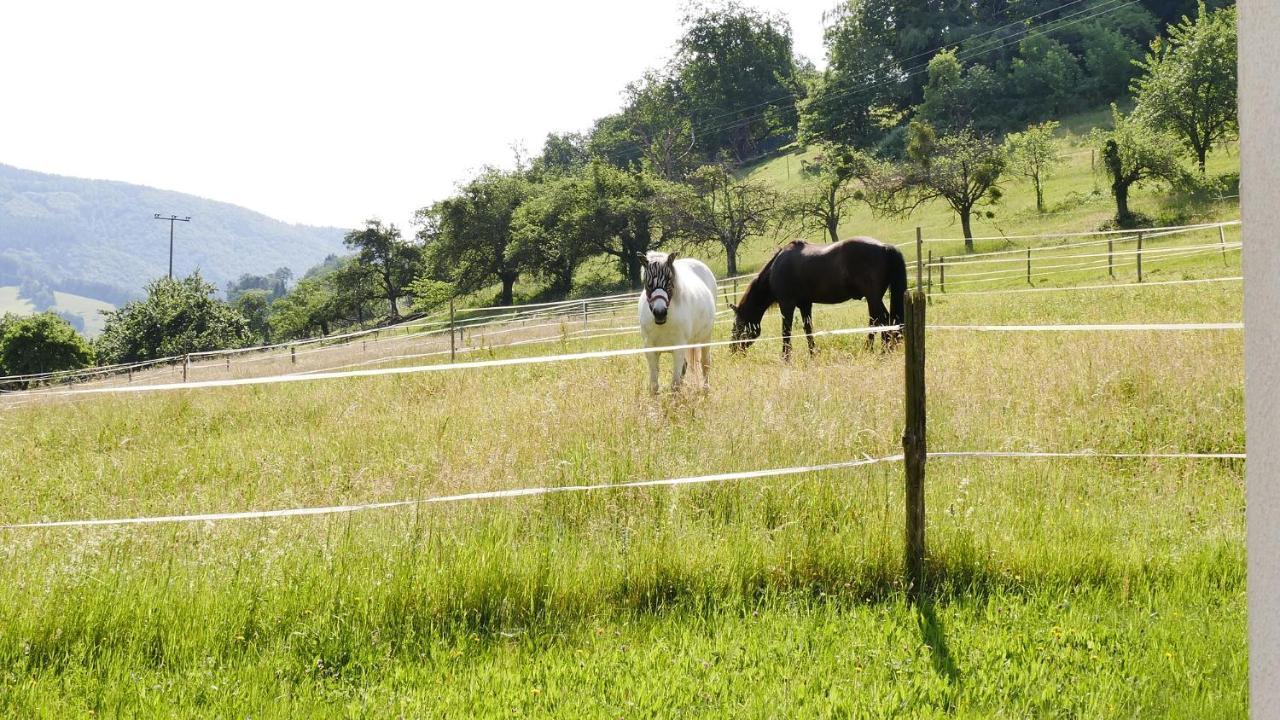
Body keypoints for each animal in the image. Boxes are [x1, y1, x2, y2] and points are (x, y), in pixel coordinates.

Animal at [640, 248, 721, 392]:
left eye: (669, 283)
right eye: (648, 285)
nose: (660, 313)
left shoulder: (678, 349)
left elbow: (675, 385)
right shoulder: (651, 350)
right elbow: (654, 385)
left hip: (706, 337)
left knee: (705, 364)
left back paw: (706, 389)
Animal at [732, 237, 911, 356]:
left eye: (738, 326)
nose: (732, 350)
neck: (776, 269)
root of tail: (885, 247)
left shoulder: (786, 304)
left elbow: (786, 331)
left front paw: (786, 358)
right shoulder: (805, 304)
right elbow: (808, 329)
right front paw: (813, 354)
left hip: (873, 298)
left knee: (882, 320)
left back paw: (880, 350)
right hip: (874, 299)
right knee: (879, 321)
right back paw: (876, 349)